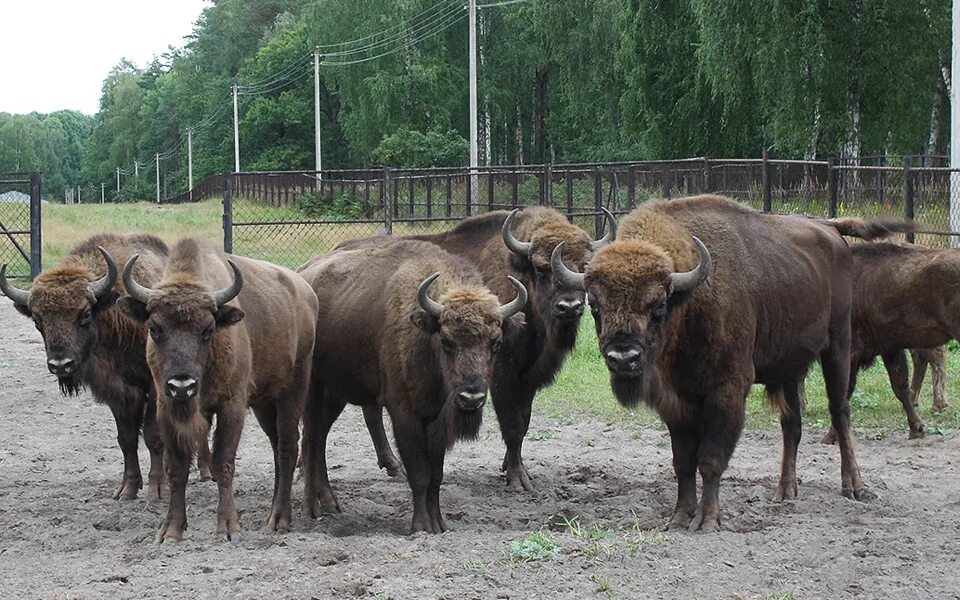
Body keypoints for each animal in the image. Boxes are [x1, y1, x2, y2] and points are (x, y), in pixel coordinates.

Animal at [1, 234, 173, 502]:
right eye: (38, 321)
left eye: (84, 315)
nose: (61, 365)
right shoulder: (117, 392)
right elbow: (126, 438)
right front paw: (127, 489)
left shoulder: (154, 387)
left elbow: (154, 435)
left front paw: (157, 489)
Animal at [118, 239, 316, 544]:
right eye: (154, 328)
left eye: (208, 329)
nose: (182, 385)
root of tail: (305, 291)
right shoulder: (166, 408)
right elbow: (177, 468)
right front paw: (171, 530)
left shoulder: (231, 406)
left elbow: (223, 462)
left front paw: (229, 527)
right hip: (264, 402)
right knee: (276, 448)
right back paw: (272, 511)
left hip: (293, 388)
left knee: (287, 446)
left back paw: (280, 519)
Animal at [298, 241, 524, 532]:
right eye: (446, 342)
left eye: (496, 343)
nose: (471, 397)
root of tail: (303, 274)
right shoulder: (404, 415)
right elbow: (419, 473)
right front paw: (420, 526)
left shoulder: (436, 421)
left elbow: (436, 475)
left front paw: (439, 523)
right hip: (313, 391)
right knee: (311, 439)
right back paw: (311, 508)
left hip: (335, 393)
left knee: (320, 440)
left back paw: (330, 502)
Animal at [340, 209, 616, 490]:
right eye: (541, 267)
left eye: (584, 266)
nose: (570, 307)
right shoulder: (503, 374)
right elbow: (513, 425)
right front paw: (517, 478)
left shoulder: (527, 376)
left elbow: (524, 421)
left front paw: (514, 467)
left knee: (371, 409)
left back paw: (393, 465)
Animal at [552, 196, 912, 528]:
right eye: (595, 305)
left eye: (658, 305)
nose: (623, 358)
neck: (689, 298)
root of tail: (830, 231)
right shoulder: (676, 401)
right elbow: (683, 462)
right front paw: (679, 517)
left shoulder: (727, 392)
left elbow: (710, 459)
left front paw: (707, 519)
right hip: (791, 366)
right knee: (792, 425)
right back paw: (785, 491)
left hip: (838, 346)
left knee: (840, 412)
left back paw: (854, 487)